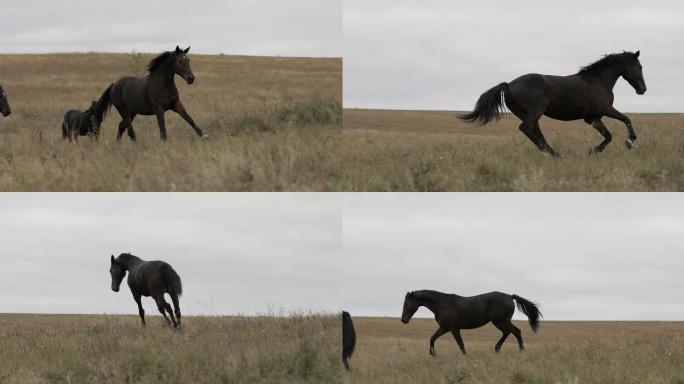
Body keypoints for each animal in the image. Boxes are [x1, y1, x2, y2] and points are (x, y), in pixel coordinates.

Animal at [400, 292, 540, 354]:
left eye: (407, 303)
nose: (403, 320)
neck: (442, 304)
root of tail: (510, 297)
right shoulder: (444, 328)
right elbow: (432, 338)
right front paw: (433, 354)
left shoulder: (454, 328)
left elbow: (461, 344)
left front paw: (465, 357)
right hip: (502, 321)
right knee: (511, 332)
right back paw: (500, 349)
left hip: (500, 321)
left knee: (514, 331)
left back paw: (518, 350)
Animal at [460, 51, 648, 156]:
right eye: (639, 67)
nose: (643, 90)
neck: (598, 81)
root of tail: (509, 85)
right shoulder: (604, 111)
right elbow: (625, 121)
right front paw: (629, 142)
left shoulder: (593, 118)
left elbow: (609, 135)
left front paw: (593, 151)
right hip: (535, 111)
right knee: (526, 129)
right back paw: (556, 155)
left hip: (528, 114)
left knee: (537, 134)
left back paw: (553, 153)